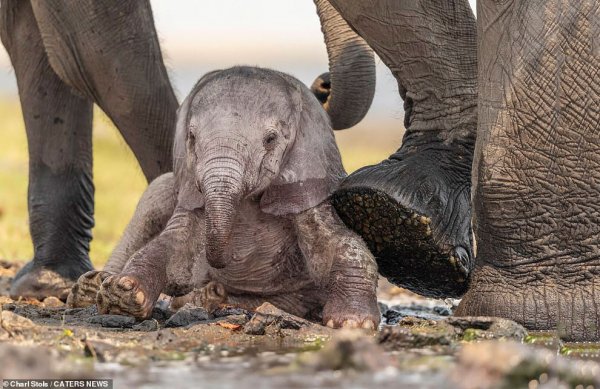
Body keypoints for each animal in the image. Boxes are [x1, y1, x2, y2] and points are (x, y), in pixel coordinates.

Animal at [68, 66, 380, 328]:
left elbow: (340, 243)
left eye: (270, 140)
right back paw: (93, 287)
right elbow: (172, 246)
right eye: (192, 137)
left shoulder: (304, 186)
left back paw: (209, 297)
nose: (216, 266)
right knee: (157, 195)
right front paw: (122, 294)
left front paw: (352, 323)